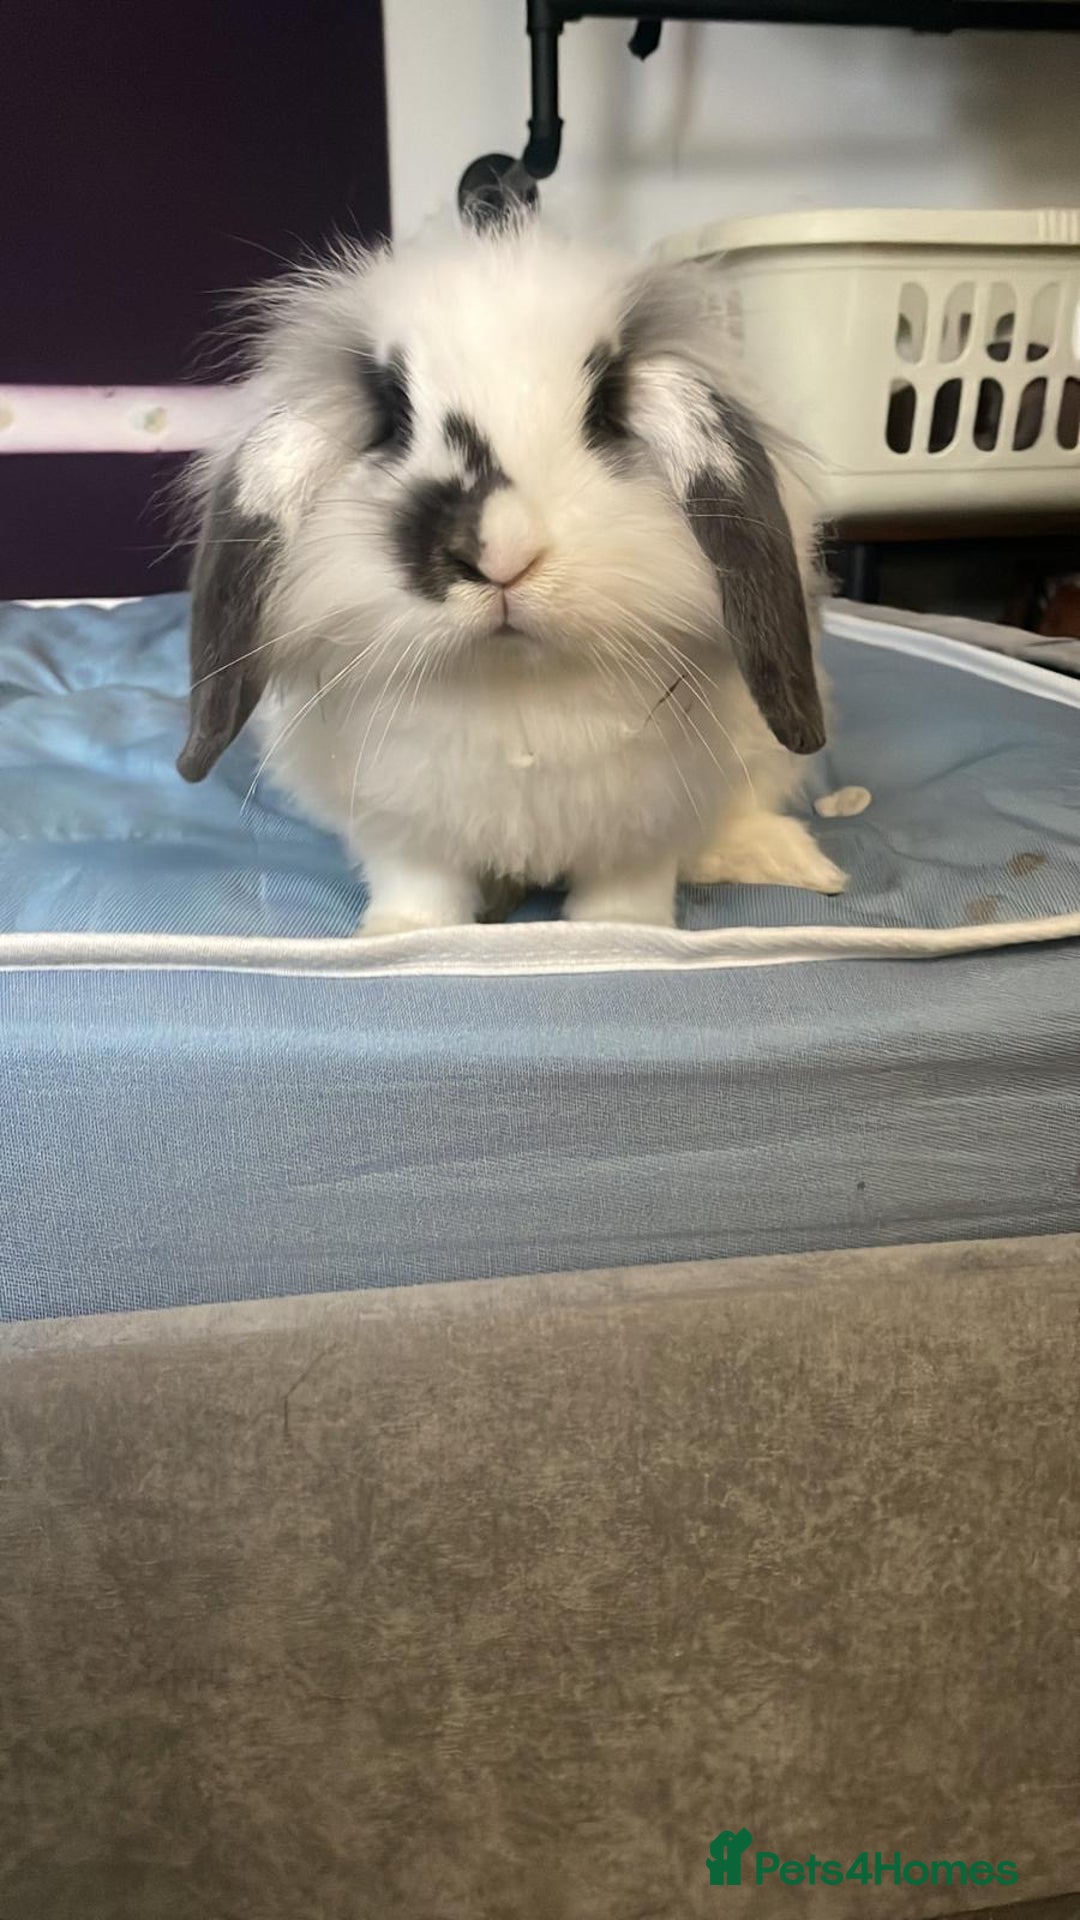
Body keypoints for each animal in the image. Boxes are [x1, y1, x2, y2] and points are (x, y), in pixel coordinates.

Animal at [178, 222, 845, 932]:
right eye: (392, 415)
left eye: (603, 412)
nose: (501, 553)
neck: (515, 680)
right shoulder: (405, 832)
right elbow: (419, 887)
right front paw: (402, 934)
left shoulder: (645, 827)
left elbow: (628, 891)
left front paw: (620, 934)